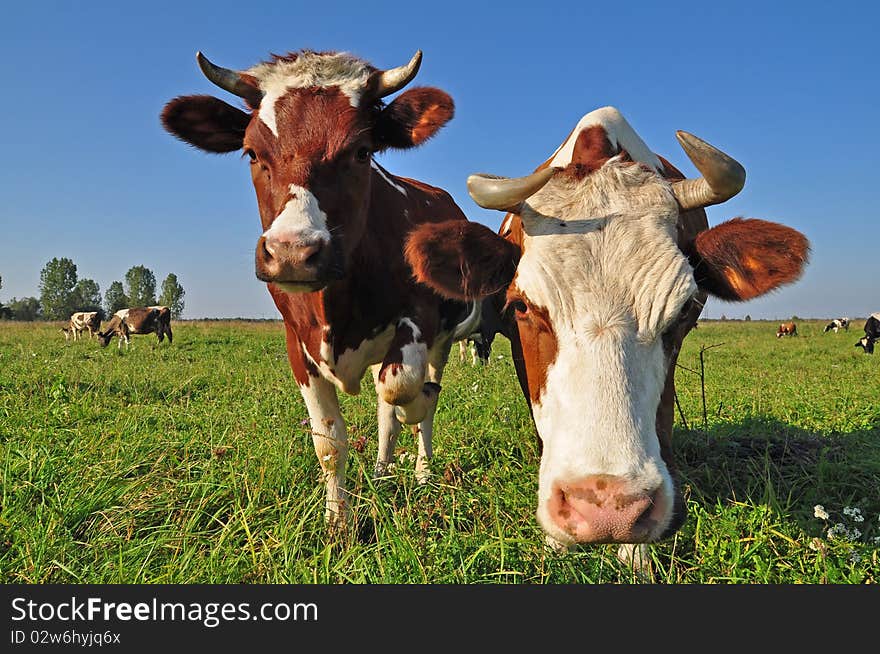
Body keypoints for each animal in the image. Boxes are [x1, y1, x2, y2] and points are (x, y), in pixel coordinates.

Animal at [162, 46, 478, 532]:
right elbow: (329, 442)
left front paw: (419, 414)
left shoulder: (419, 321)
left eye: (363, 152)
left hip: (444, 340)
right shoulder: (298, 344)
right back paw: (383, 469)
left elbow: (403, 391)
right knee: (384, 413)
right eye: (251, 152)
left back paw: (423, 470)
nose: (292, 251)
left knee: (417, 400)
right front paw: (338, 524)